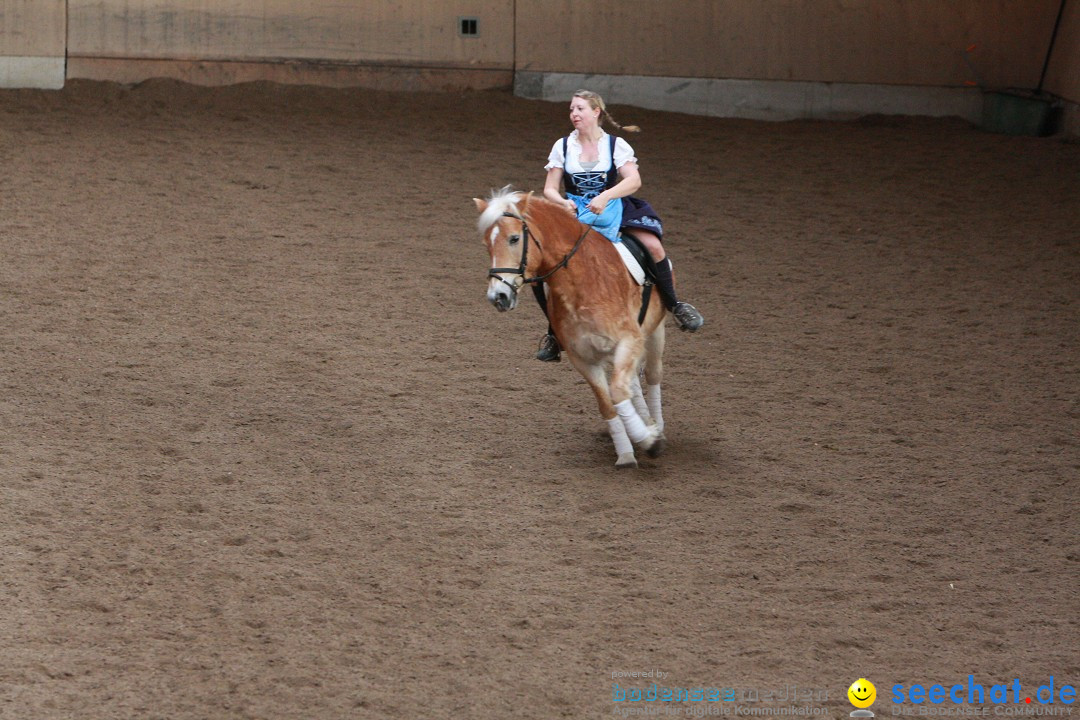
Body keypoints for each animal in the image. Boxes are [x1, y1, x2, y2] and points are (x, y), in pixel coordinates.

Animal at [477, 187, 669, 468]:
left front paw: (651, 441)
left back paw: (658, 428)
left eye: (514, 238)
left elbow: (618, 391)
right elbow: (607, 402)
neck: (581, 285)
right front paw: (626, 452)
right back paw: (646, 424)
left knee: (652, 376)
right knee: (631, 383)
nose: (497, 297)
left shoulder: (630, 339)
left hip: (655, 333)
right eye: (487, 244)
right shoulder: (583, 358)